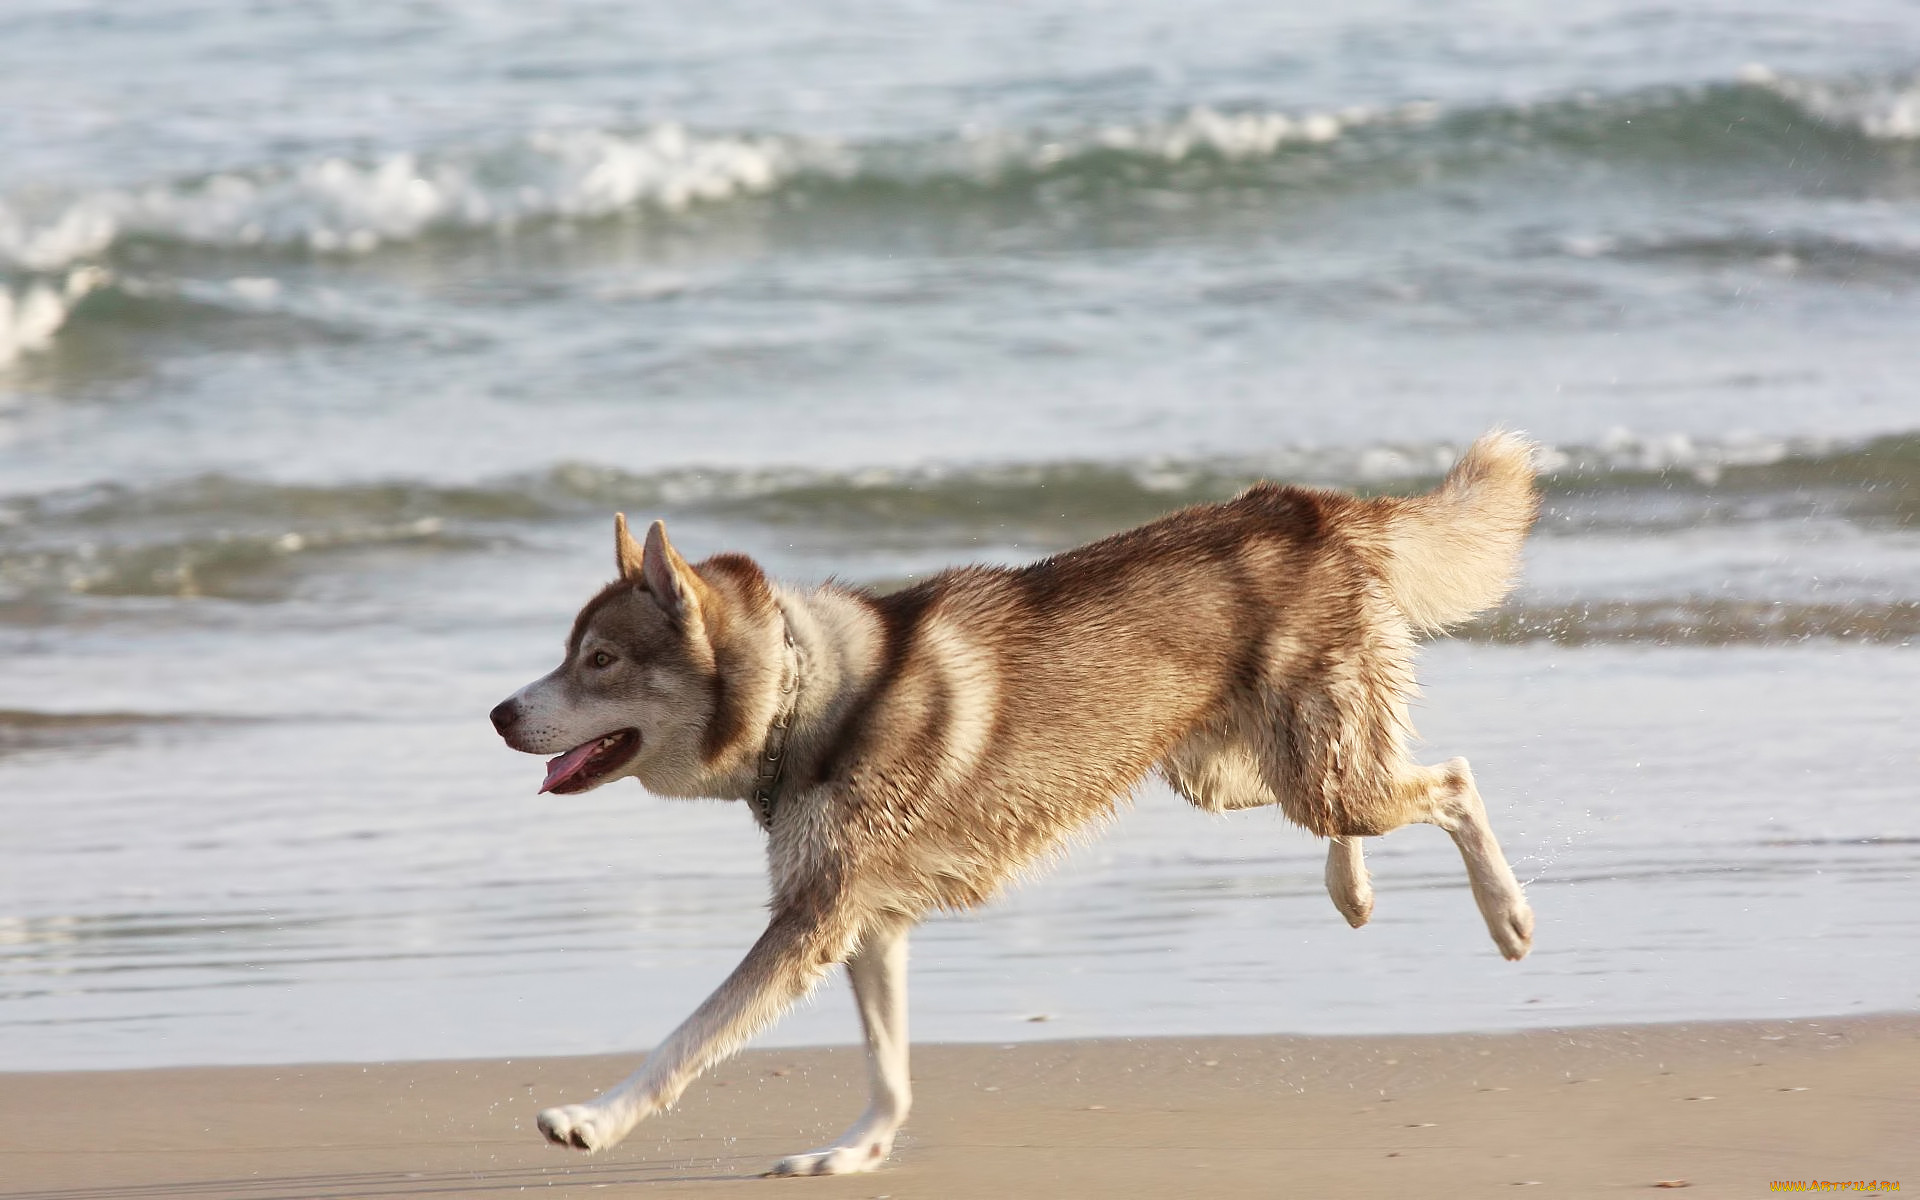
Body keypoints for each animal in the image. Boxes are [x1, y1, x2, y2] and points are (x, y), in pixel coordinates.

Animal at [487, 428, 1536, 1167]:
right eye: (569, 654)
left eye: (599, 660)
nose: (498, 713)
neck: (807, 692)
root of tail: (1311, 506)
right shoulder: (868, 920)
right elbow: (890, 1067)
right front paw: (859, 1151)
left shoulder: (815, 918)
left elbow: (687, 1040)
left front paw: (593, 1119)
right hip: (1229, 773)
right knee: (1368, 796)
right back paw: (1353, 893)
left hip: (1311, 769)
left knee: (1450, 780)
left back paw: (1508, 915)